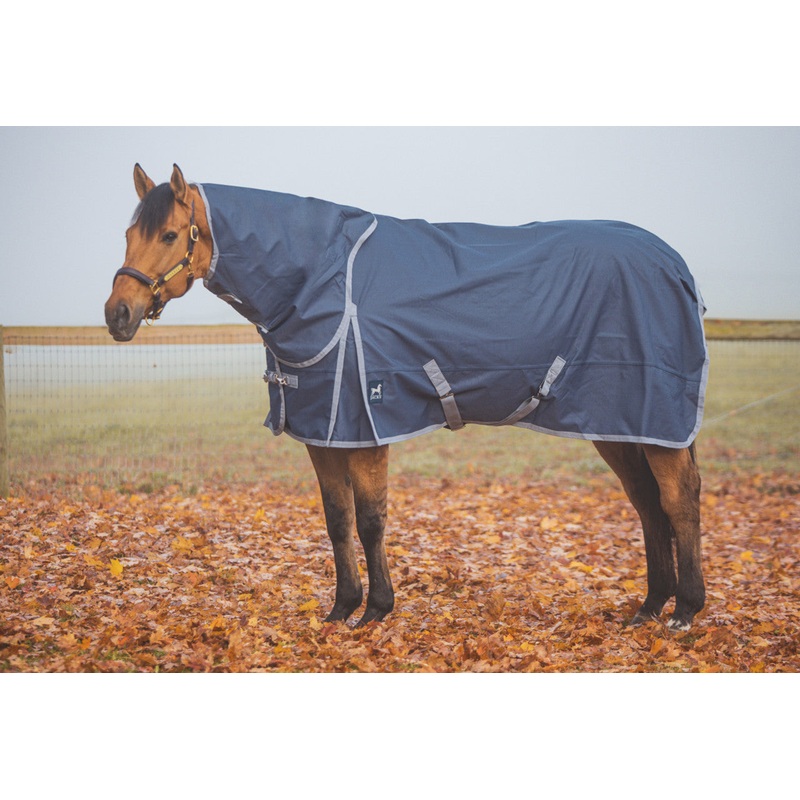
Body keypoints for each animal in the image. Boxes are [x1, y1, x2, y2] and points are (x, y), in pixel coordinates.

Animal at [105, 164, 707, 632]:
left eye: (169, 235)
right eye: (129, 234)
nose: (118, 315)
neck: (321, 278)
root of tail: (675, 264)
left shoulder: (368, 426)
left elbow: (371, 519)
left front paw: (376, 609)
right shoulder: (322, 432)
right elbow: (337, 519)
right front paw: (341, 608)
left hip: (656, 418)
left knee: (678, 499)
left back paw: (685, 610)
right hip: (619, 423)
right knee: (647, 502)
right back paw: (650, 606)